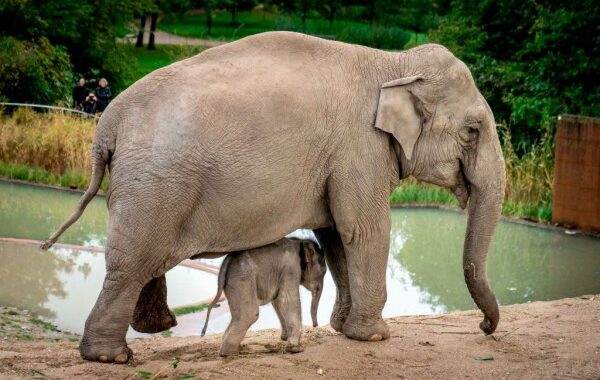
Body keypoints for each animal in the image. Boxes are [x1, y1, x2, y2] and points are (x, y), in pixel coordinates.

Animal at [43, 31, 506, 362]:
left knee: (140, 261)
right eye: (472, 130)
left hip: (146, 185)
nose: (485, 328)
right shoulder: (361, 148)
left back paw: (149, 332)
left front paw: (343, 330)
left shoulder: (343, 159)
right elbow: (364, 229)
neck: (393, 61)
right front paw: (374, 336)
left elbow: (335, 234)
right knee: (132, 262)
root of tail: (106, 125)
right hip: (154, 185)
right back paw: (112, 358)